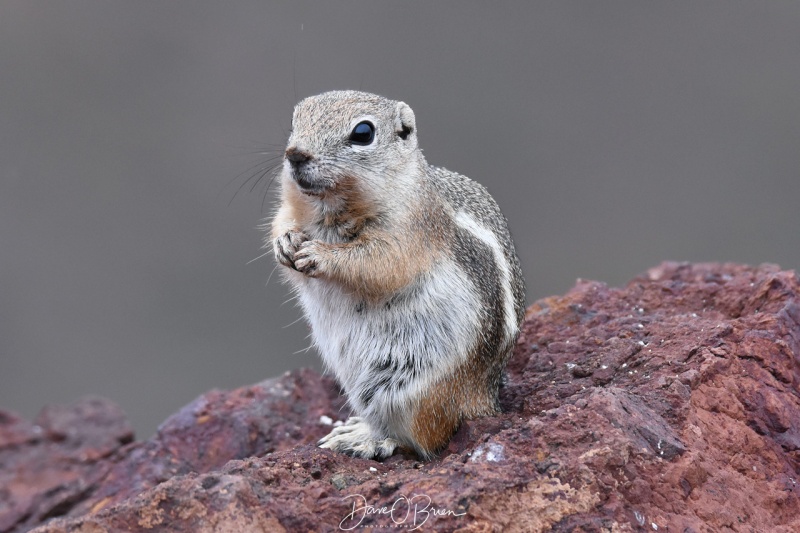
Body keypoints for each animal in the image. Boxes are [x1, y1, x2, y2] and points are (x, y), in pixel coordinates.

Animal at [268, 89, 524, 460]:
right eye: (295, 120)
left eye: (363, 133)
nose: (295, 154)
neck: (328, 210)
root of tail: (484, 402)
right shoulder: (291, 207)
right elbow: (282, 221)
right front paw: (284, 243)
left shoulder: (408, 233)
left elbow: (379, 263)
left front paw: (320, 255)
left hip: (408, 388)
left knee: (423, 438)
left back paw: (368, 439)